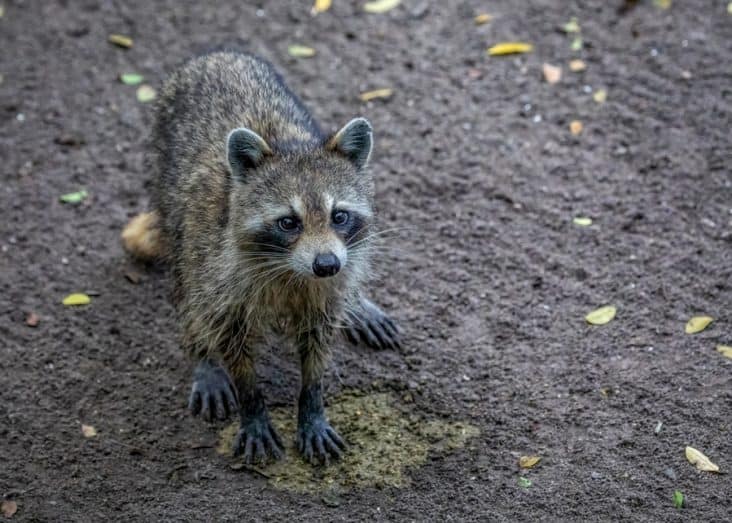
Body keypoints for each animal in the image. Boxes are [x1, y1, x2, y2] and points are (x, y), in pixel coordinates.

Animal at [123, 51, 404, 464]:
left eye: (339, 216)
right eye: (288, 222)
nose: (327, 265)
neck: (293, 272)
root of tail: (214, 55)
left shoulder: (329, 284)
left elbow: (318, 342)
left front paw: (312, 403)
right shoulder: (218, 267)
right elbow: (229, 337)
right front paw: (251, 404)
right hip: (170, 194)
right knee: (187, 286)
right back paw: (201, 354)